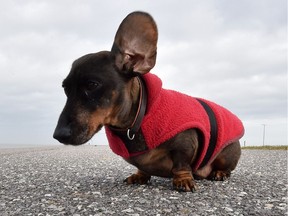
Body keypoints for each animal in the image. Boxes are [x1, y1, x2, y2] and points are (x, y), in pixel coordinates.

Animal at [53, 11, 243, 192]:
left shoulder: (186, 143)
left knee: (226, 168)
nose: (58, 135)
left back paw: (219, 173)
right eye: (65, 88)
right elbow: (142, 169)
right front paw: (139, 175)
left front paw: (183, 180)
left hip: (227, 153)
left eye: (92, 85)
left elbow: (181, 165)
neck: (137, 119)